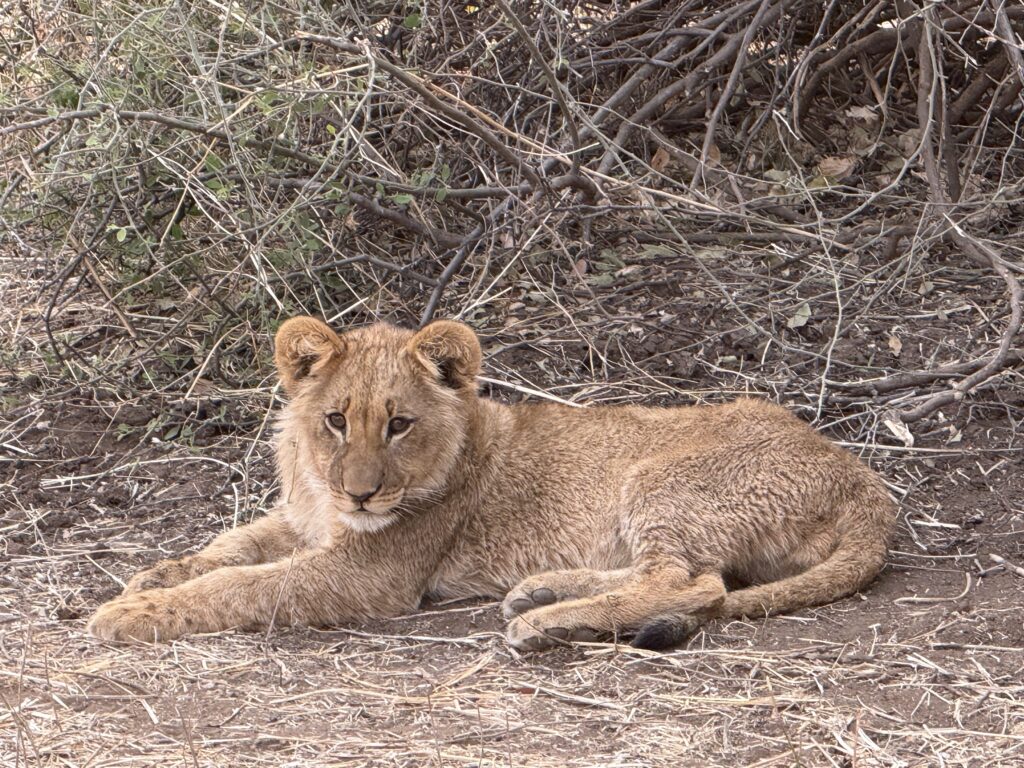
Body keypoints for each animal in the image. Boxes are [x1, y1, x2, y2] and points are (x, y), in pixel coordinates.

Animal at [88, 316, 896, 650]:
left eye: (400, 424)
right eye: (337, 420)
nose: (361, 494)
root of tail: (863, 481)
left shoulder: (370, 572)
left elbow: (241, 586)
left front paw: (131, 612)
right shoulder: (306, 517)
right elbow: (233, 544)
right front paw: (155, 574)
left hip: (659, 477)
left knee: (692, 583)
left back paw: (543, 624)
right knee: (666, 576)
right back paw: (540, 592)